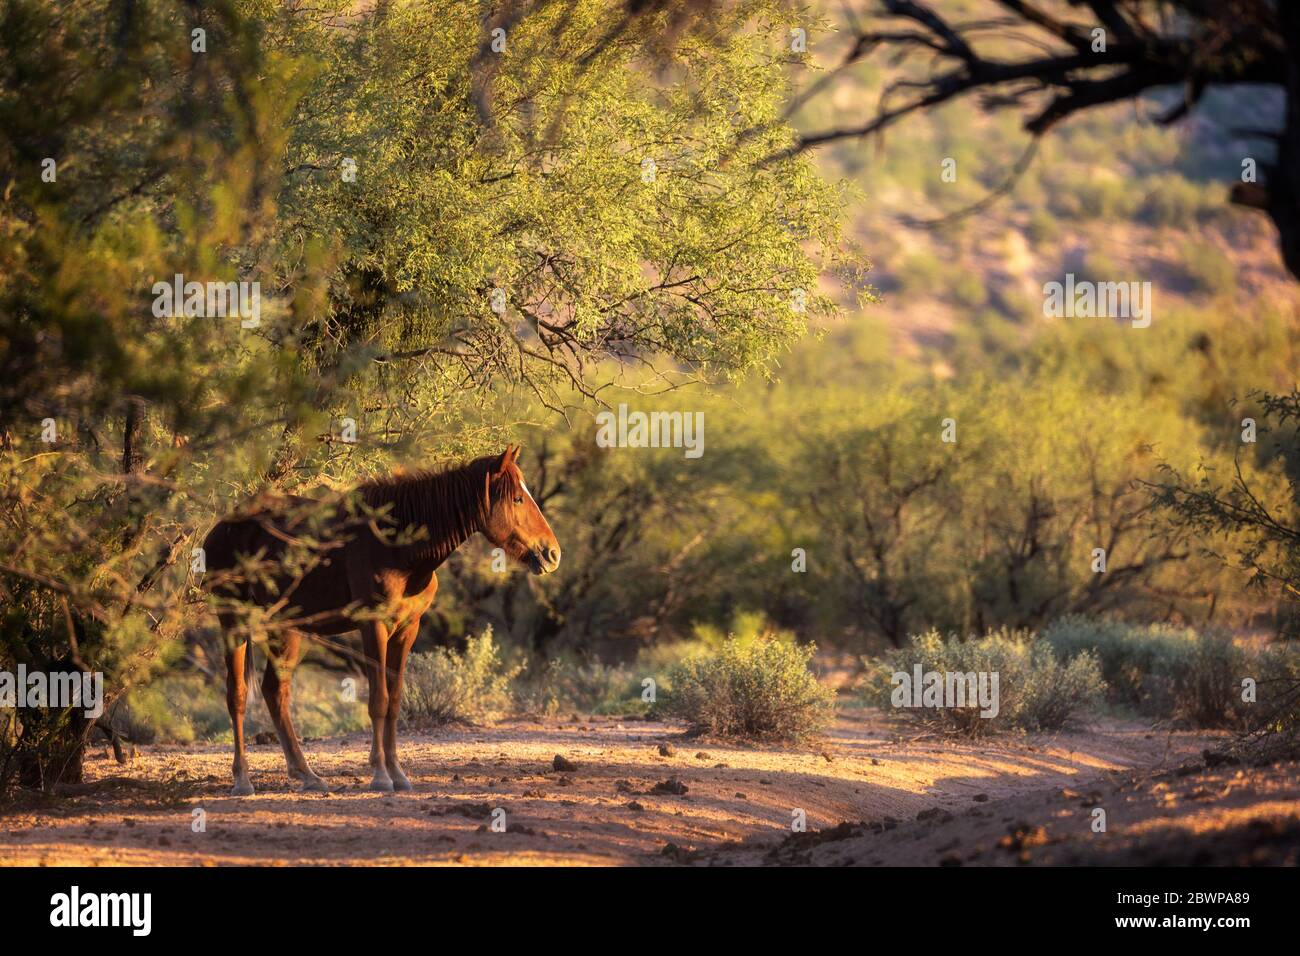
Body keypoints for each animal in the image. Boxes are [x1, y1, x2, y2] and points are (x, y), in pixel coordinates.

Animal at [200, 444, 556, 796]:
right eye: (518, 499)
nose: (552, 553)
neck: (397, 546)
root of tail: (222, 526)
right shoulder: (373, 625)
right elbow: (378, 700)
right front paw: (380, 775)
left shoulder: (407, 629)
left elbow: (395, 701)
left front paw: (398, 773)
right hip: (233, 618)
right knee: (238, 695)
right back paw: (243, 780)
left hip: (287, 630)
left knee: (275, 693)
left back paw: (307, 775)